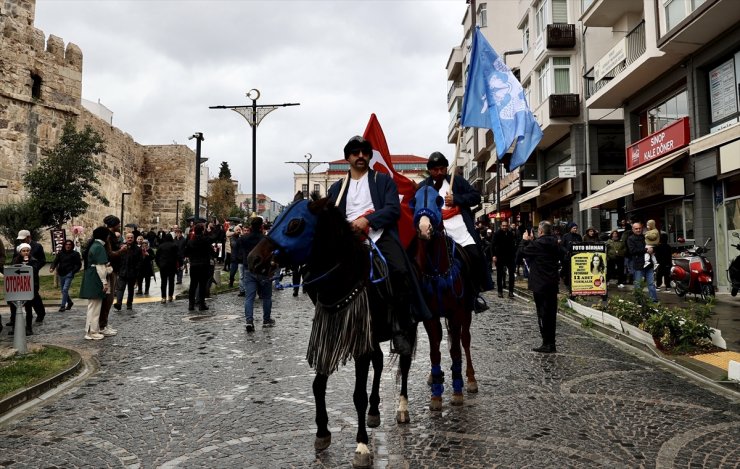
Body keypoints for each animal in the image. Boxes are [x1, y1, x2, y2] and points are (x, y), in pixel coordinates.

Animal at [246, 196, 414, 466]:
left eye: (294, 224)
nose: (253, 260)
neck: (345, 276)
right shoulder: (332, 338)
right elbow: (318, 385)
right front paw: (322, 432)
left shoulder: (359, 343)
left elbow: (358, 394)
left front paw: (361, 446)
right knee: (379, 362)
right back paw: (375, 411)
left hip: (410, 325)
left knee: (405, 363)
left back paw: (402, 408)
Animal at [408, 185, 476, 408]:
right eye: (414, 201)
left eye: (439, 201)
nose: (424, 229)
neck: (438, 272)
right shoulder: (431, 317)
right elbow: (434, 350)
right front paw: (436, 395)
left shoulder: (456, 313)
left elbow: (455, 349)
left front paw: (457, 391)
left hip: (466, 312)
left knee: (464, 340)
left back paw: (470, 379)